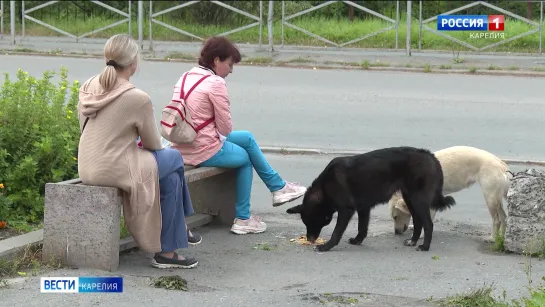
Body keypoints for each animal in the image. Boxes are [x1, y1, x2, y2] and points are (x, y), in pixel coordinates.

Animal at [284, 147, 454, 253]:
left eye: (311, 222)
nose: (310, 240)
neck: (325, 188)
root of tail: (430, 155)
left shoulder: (346, 210)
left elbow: (336, 232)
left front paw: (327, 247)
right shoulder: (363, 208)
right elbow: (362, 227)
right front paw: (358, 240)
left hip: (418, 200)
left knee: (428, 224)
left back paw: (424, 246)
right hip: (410, 198)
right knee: (418, 221)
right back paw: (412, 241)